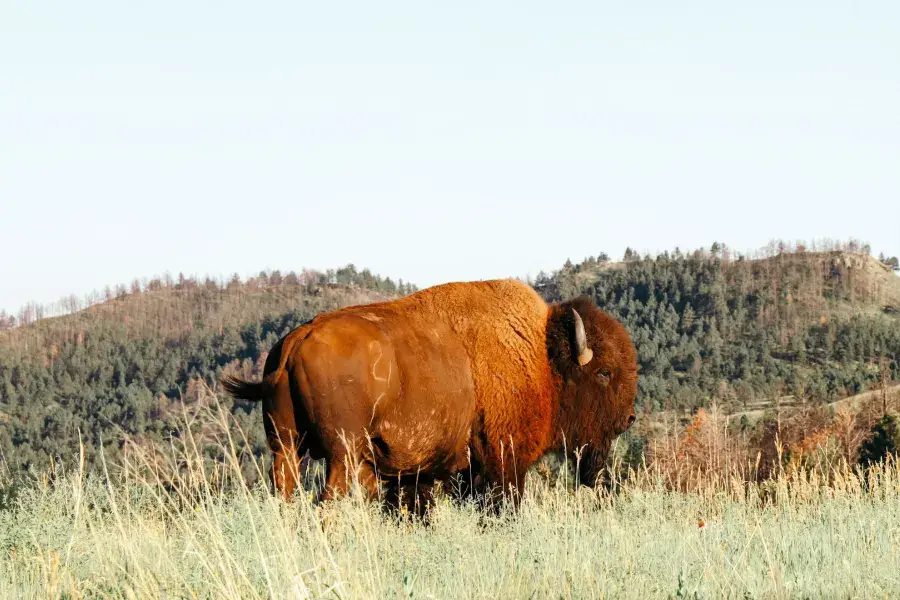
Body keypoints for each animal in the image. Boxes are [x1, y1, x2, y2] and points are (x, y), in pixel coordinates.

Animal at [222, 279, 637, 510]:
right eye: (604, 372)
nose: (629, 418)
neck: (540, 354)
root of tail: (296, 340)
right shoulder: (502, 464)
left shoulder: (418, 475)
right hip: (344, 455)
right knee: (331, 500)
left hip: (286, 446)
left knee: (286, 490)